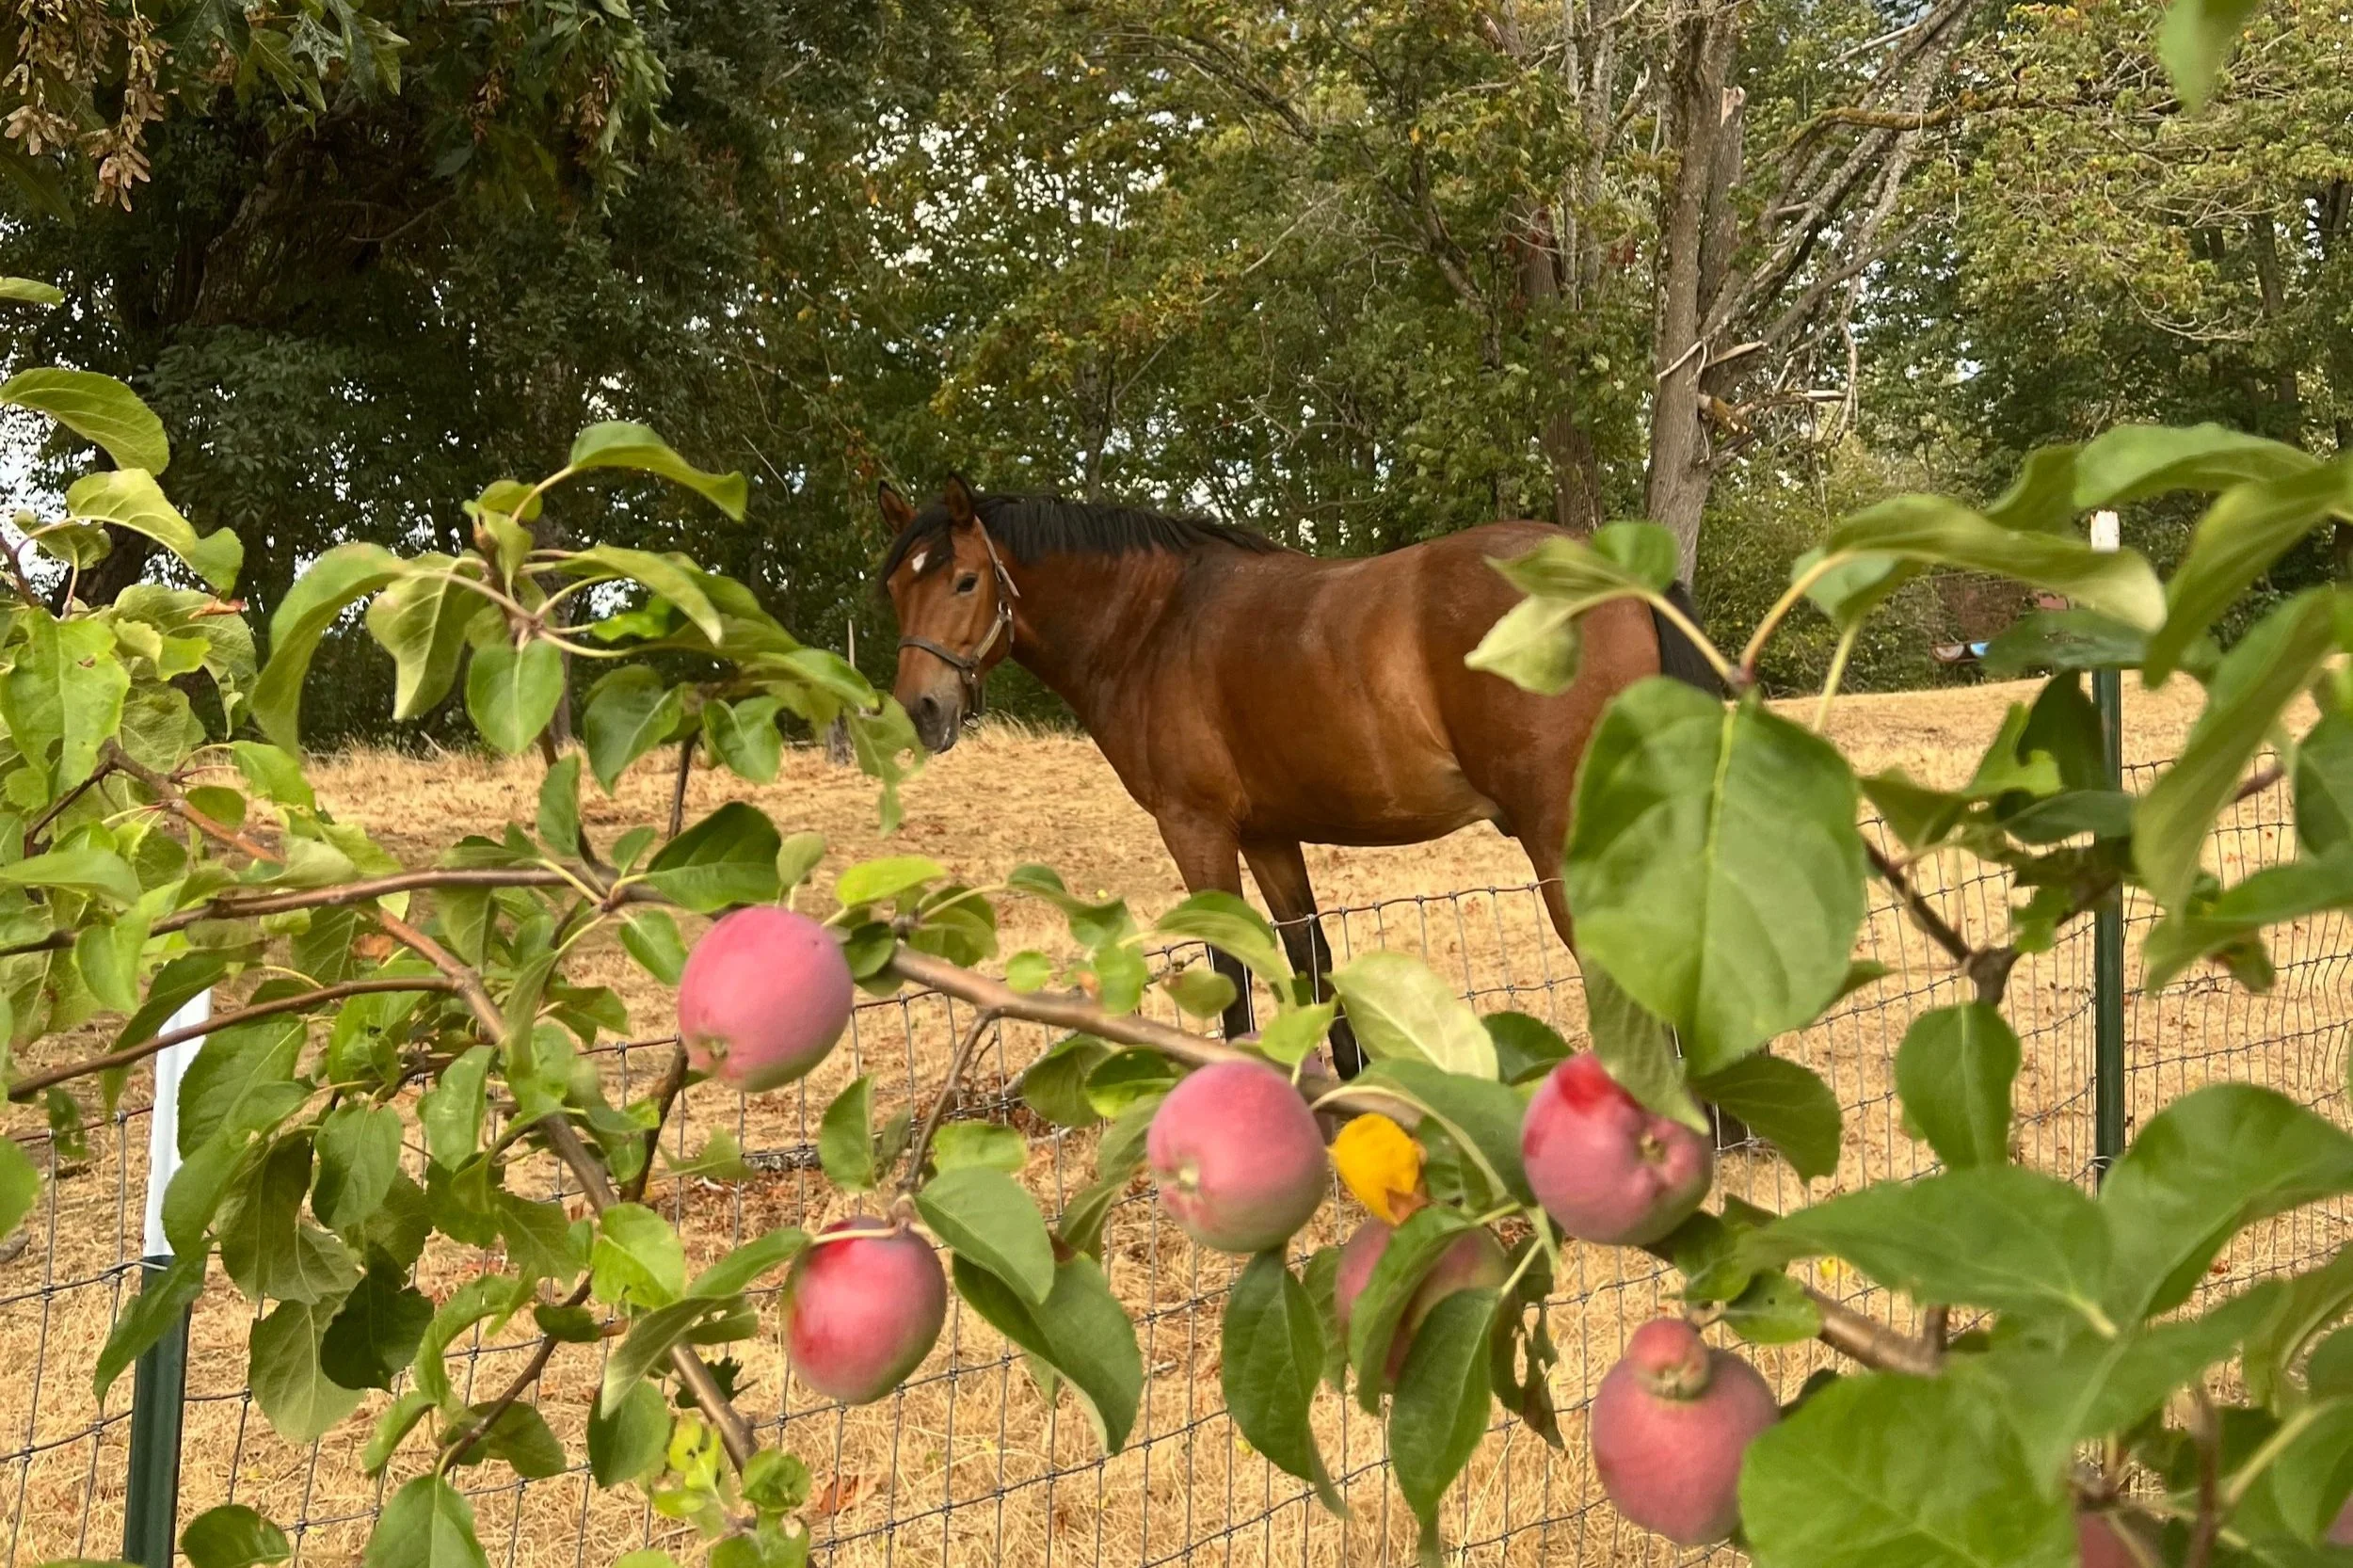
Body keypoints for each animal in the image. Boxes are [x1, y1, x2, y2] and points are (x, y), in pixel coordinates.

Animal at [878, 475, 1723, 1078]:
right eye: (895, 589)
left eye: (963, 580)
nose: (921, 708)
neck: (1154, 625)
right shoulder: (1270, 836)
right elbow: (1309, 956)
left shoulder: (1196, 830)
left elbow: (1231, 966)